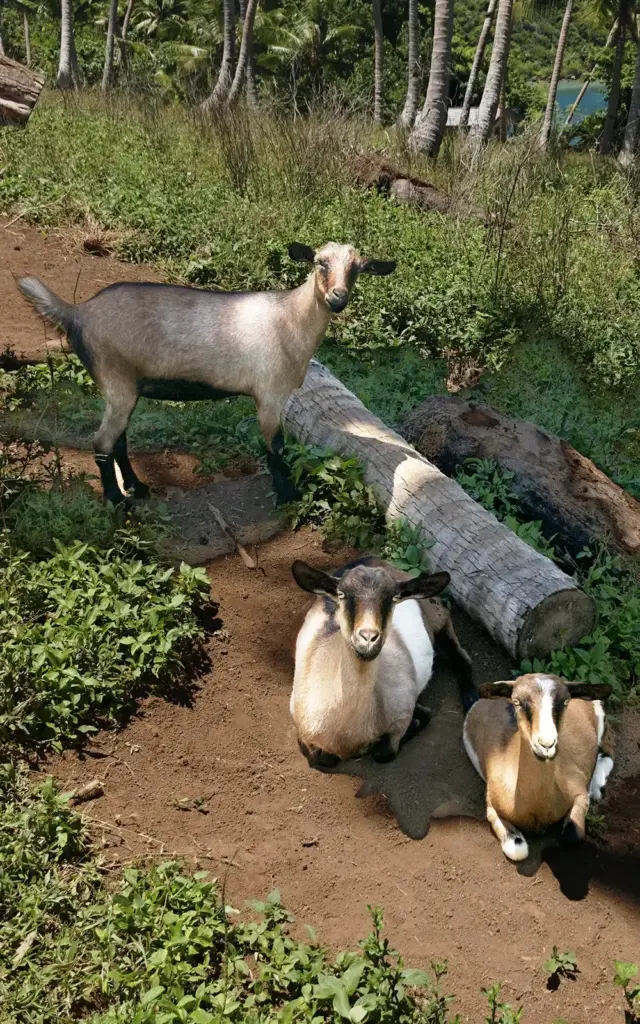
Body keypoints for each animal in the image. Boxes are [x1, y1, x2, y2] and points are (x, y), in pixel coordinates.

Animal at [17, 242, 396, 506]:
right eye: (320, 263)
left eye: (358, 269)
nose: (338, 298)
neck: (289, 319)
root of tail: (77, 312)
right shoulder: (269, 394)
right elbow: (275, 449)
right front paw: (287, 495)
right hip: (116, 379)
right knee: (102, 443)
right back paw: (118, 501)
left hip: (123, 387)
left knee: (118, 441)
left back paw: (138, 487)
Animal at [289, 556, 474, 771]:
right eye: (341, 594)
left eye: (393, 598)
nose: (368, 638)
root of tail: (372, 558)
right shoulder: (302, 729)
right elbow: (322, 759)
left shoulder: (401, 716)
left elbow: (385, 753)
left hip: (439, 617)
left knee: (461, 657)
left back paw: (471, 700)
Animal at [463, 673, 614, 862]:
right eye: (516, 701)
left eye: (566, 701)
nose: (546, 745)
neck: (537, 807)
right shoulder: (492, 809)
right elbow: (518, 850)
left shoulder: (579, 795)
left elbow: (571, 835)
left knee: (608, 750)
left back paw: (597, 788)